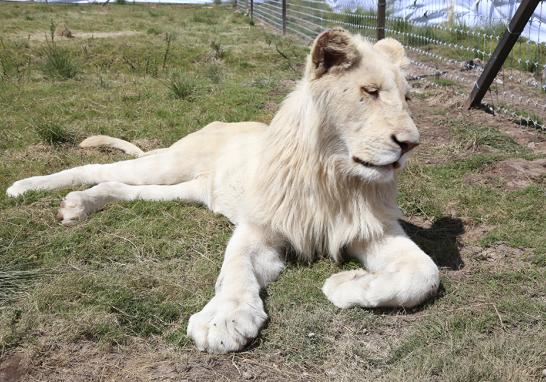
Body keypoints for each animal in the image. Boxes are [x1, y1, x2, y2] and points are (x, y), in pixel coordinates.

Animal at [5, 28, 438, 354]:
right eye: (370, 91)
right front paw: (223, 320)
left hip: (186, 189)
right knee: (94, 168)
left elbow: (425, 275)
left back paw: (80, 204)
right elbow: (235, 270)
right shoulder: (258, 228)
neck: (335, 177)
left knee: (117, 186)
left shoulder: (376, 231)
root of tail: (215, 123)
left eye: (407, 98)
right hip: (167, 164)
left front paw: (346, 285)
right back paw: (26, 188)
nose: (411, 143)